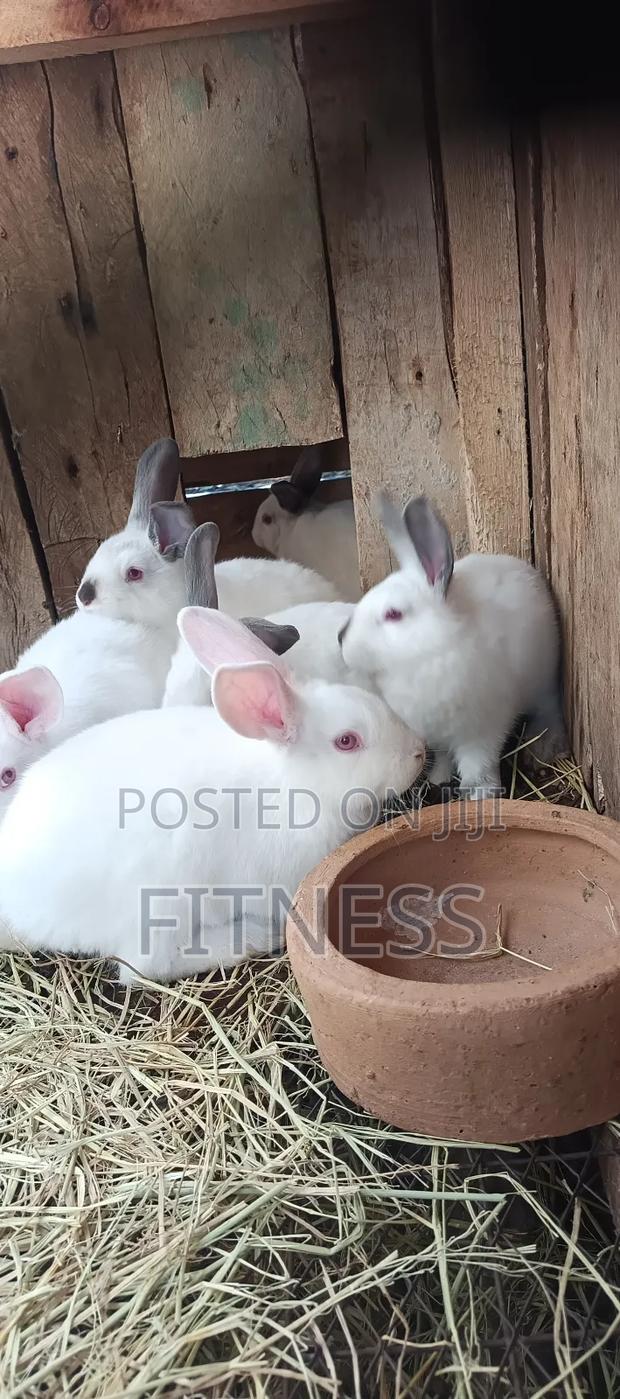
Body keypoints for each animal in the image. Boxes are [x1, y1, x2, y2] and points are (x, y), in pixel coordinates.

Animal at [0, 609, 426, 984]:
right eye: (347, 741)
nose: (419, 753)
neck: (293, 783)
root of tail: (19, 901)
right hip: (160, 905)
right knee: (145, 968)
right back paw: (253, 939)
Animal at [339, 494, 566, 799]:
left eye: (394, 614)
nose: (341, 639)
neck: (427, 655)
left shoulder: (481, 731)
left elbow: (478, 765)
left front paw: (479, 793)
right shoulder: (437, 735)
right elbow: (444, 757)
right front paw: (438, 779)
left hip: (544, 679)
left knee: (549, 710)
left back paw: (544, 746)